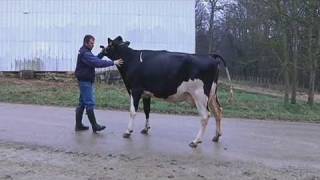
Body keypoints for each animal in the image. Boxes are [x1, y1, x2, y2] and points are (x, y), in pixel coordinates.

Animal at [100, 35, 232, 148]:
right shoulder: (146, 93)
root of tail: (210, 56)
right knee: (218, 111)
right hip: (212, 94)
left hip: (200, 95)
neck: (131, 59)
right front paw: (146, 129)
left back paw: (195, 141)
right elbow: (147, 110)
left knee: (205, 116)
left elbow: (133, 111)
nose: (101, 50)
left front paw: (128, 131)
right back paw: (216, 136)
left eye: (110, 44)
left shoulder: (135, 90)